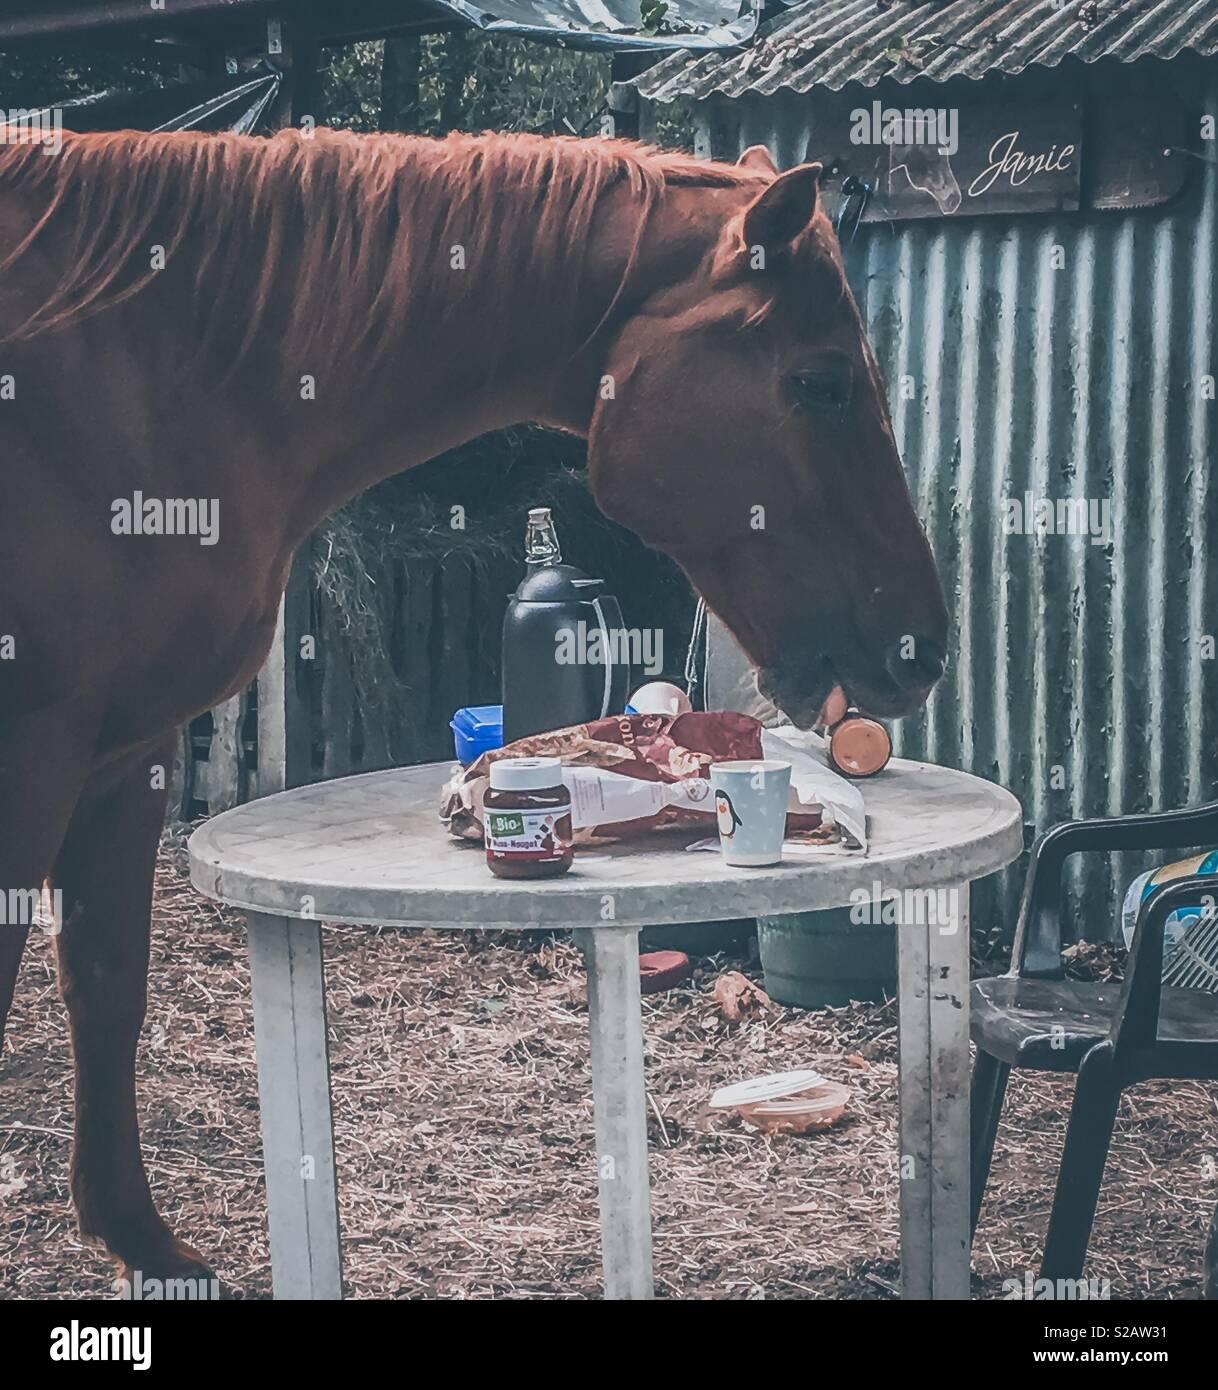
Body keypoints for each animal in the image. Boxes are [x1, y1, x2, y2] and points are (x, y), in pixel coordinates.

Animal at [0, 127, 946, 1287]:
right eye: (819, 383)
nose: (922, 646)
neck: (146, 369)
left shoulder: (123, 751)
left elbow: (108, 983)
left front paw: (141, 1242)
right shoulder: (32, 759)